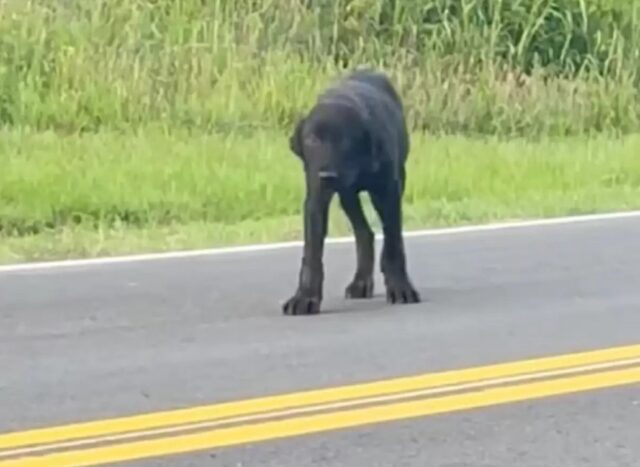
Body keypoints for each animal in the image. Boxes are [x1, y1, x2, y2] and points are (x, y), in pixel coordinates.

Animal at [282, 69, 418, 316]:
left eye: (345, 140)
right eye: (312, 139)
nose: (326, 175)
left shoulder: (388, 192)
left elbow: (394, 243)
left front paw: (401, 288)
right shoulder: (315, 199)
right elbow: (312, 254)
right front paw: (305, 298)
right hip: (347, 197)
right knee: (364, 233)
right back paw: (360, 282)